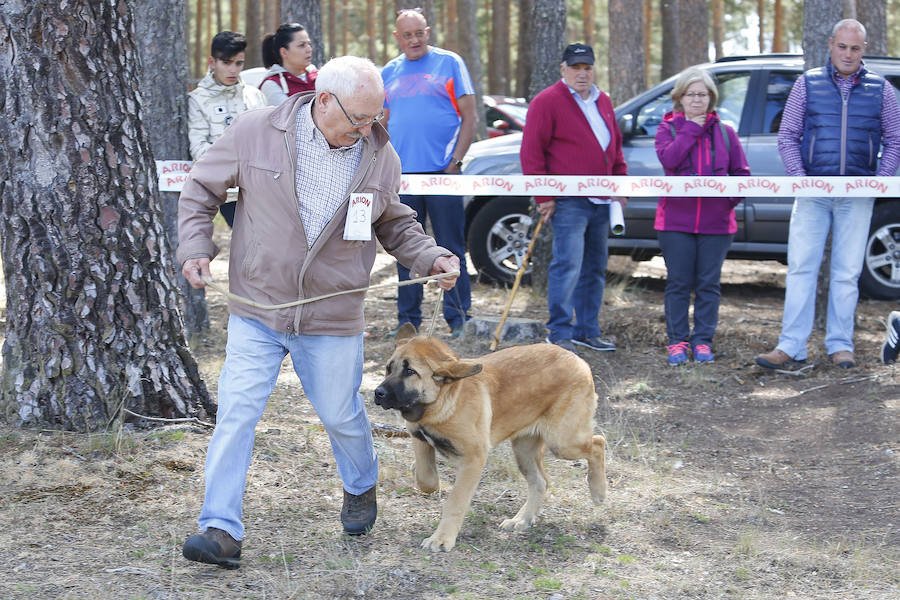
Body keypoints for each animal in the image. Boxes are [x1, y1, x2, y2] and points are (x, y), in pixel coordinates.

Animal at [372, 324, 604, 552]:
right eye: (389, 368)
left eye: (410, 371)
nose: (377, 393)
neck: (444, 400)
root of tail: (578, 360)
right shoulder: (419, 439)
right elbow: (425, 477)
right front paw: (432, 483)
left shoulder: (473, 459)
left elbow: (456, 501)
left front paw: (442, 538)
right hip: (524, 450)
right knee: (541, 481)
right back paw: (521, 520)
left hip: (562, 441)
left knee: (598, 443)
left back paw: (598, 491)